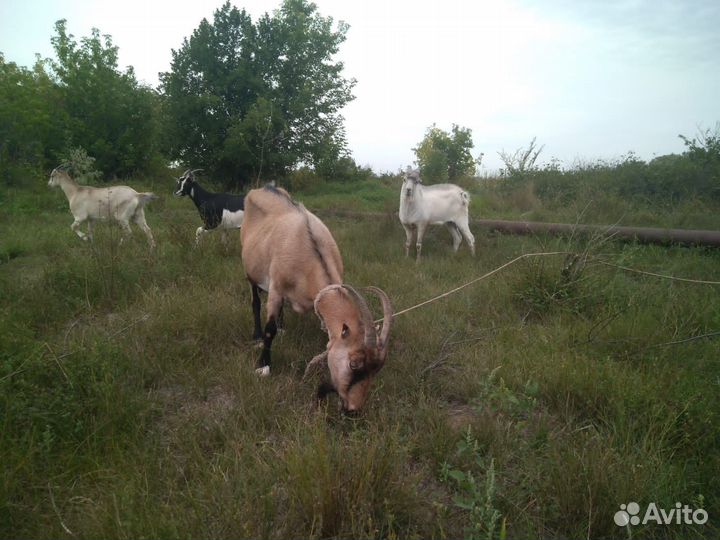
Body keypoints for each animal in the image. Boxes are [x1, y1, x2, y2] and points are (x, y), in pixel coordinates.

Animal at [241, 185, 393, 413]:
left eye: (376, 370)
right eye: (353, 364)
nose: (352, 410)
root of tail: (263, 188)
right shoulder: (276, 287)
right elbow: (270, 330)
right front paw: (263, 366)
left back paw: (283, 325)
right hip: (251, 271)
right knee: (256, 302)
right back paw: (256, 334)